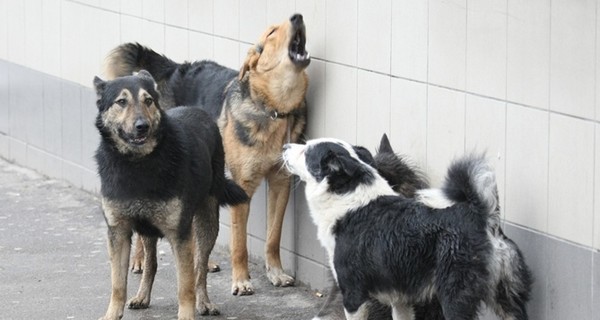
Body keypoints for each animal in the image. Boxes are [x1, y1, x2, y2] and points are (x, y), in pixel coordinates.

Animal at [92, 71, 246, 318]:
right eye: (121, 102)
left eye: (148, 101)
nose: (142, 126)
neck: (138, 163)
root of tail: (197, 110)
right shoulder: (118, 232)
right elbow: (118, 284)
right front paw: (112, 314)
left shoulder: (179, 235)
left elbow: (185, 286)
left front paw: (187, 314)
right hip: (147, 229)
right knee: (151, 263)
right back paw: (142, 296)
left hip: (206, 223)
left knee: (199, 267)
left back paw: (204, 302)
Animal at [104, 14, 310, 296]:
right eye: (271, 32)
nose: (297, 16)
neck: (273, 109)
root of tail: (174, 68)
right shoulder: (243, 186)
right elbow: (239, 243)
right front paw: (241, 280)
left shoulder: (281, 183)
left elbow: (273, 237)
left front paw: (275, 272)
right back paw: (139, 259)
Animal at [284, 138, 532, 320]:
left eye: (306, 151)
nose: (285, 146)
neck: (349, 200)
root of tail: (481, 215)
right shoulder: (400, 299)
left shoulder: (354, 295)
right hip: (507, 300)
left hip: (455, 297)